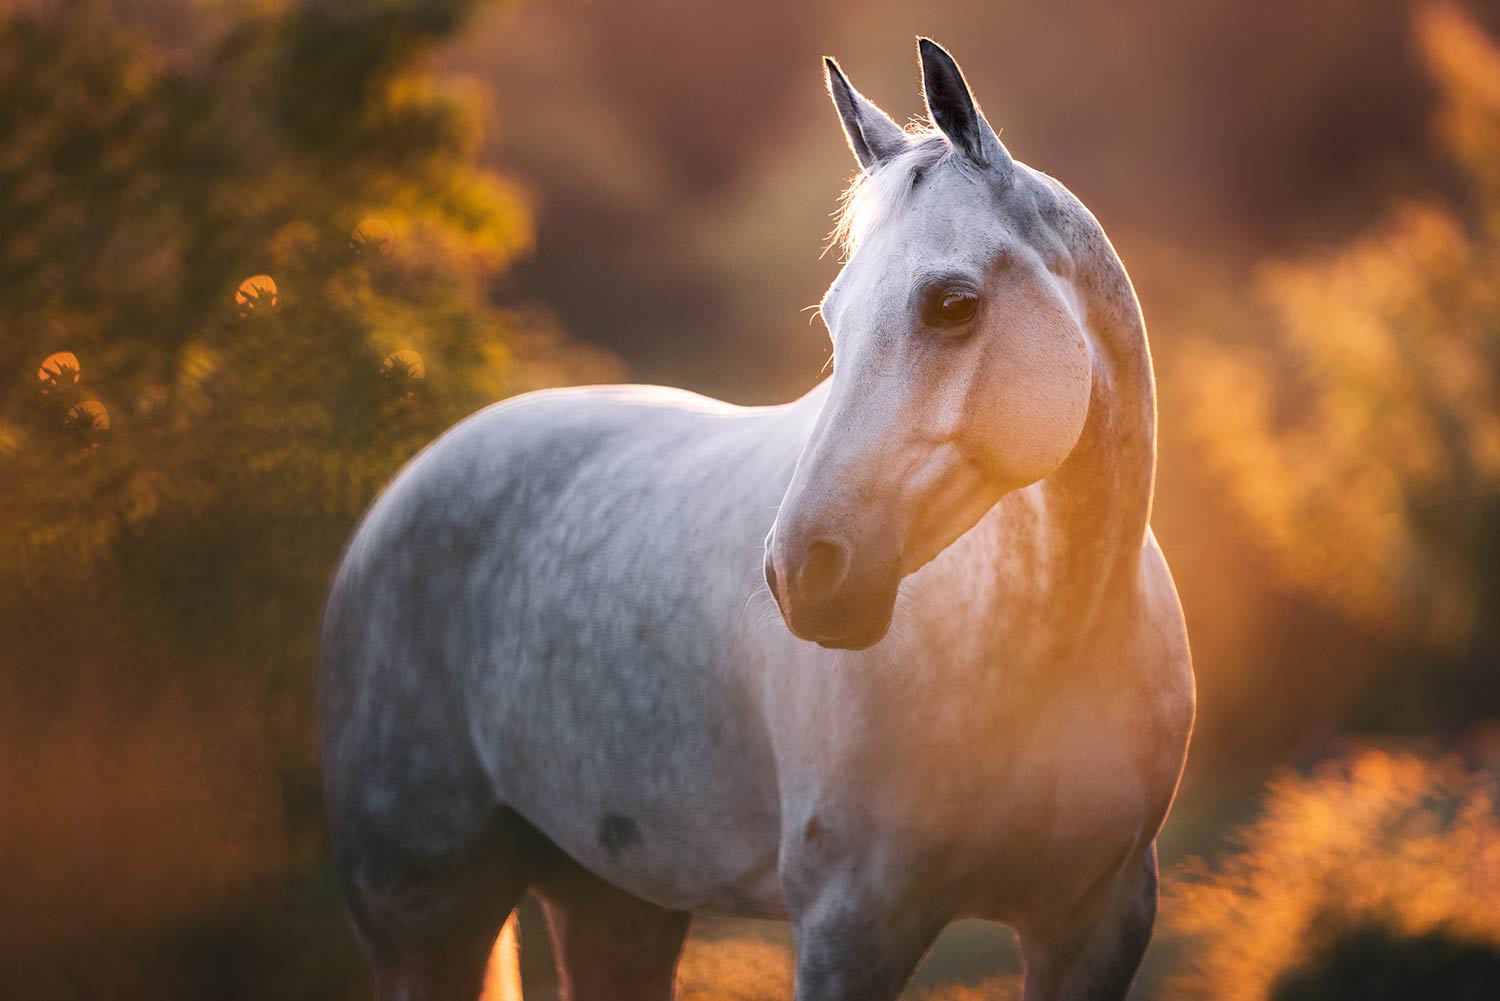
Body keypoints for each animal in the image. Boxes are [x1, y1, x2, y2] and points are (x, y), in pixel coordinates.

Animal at [319, 38, 1194, 1001]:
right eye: (836, 317)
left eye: (955, 304)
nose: (802, 571)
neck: (1052, 642)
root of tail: (401, 491)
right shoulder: (850, 927)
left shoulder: (1097, 921)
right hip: (425, 916)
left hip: (613, 903)